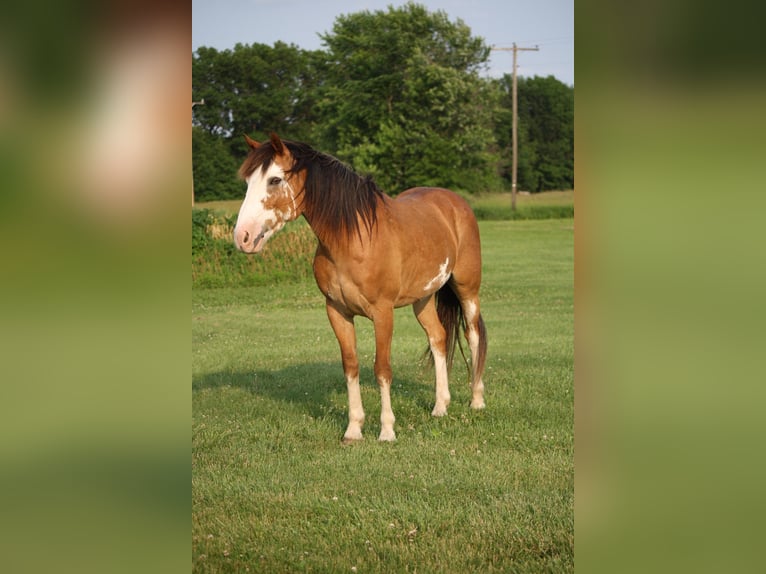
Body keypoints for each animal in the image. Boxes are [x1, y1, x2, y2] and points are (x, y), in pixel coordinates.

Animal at [233, 133, 487, 442]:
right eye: (248, 181)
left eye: (274, 180)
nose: (242, 237)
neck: (353, 239)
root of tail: (454, 202)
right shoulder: (337, 311)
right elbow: (351, 366)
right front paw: (353, 429)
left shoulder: (383, 312)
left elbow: (382, 369)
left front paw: (387, 430)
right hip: (423, 297)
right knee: (438, 338)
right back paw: (440, 406)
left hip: (467, 289)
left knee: (473, 334)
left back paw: (476, 400)